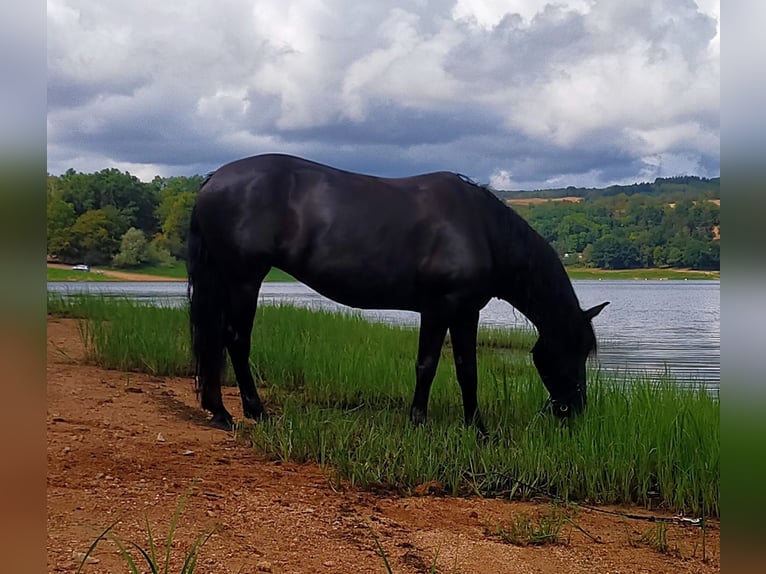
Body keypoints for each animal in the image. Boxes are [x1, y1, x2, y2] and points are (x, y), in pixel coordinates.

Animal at [184, 153, 608, 432]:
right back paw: (250, 411)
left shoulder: (456, 311)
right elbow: (437, 365)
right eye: (572, 349)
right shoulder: (444, 308)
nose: (574, 409)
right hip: (244, 279)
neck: (482, 229)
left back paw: (219, 409)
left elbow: (456, 367)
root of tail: (214, 179)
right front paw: (432, 422)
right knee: (235, 340)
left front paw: (466, 426)